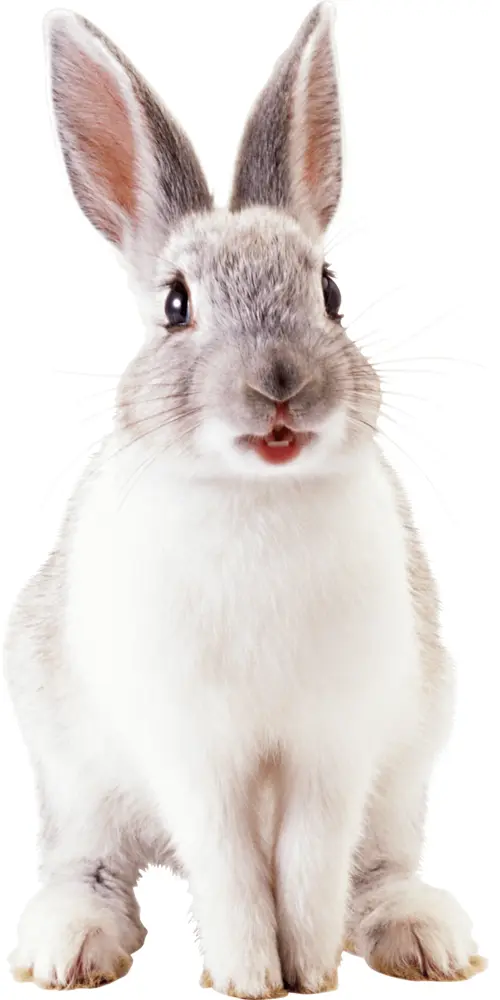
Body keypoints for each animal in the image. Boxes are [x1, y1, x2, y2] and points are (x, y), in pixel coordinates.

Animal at [3, 3, 486, 997]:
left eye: (330, 293)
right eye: (175, 305)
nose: (280, 386)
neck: (258, 497)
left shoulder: (334, 749)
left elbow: (306, 869)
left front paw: (308, 973)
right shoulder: (195, 753)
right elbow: (231, 868)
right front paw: (248, 976)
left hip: (409, 766)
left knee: (378, 867)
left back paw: (425, 937)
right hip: (73, 774)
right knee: (88, 863)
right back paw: (68, 945)